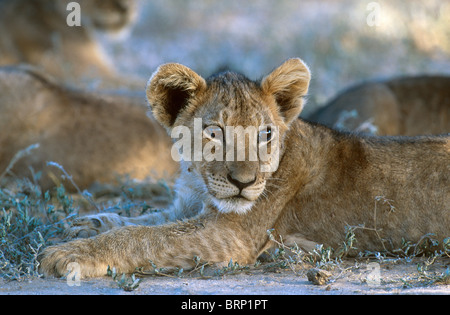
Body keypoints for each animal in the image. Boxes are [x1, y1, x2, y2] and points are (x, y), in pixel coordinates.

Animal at [39, 58, 450, 278]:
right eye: (214, 132)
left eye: (265, 133)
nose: (244, 182)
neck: (199, 183)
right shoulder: (186, 207)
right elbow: (139, 220)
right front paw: (83, 224)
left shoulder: (230, 234)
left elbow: (143, 236)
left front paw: (70, 254)